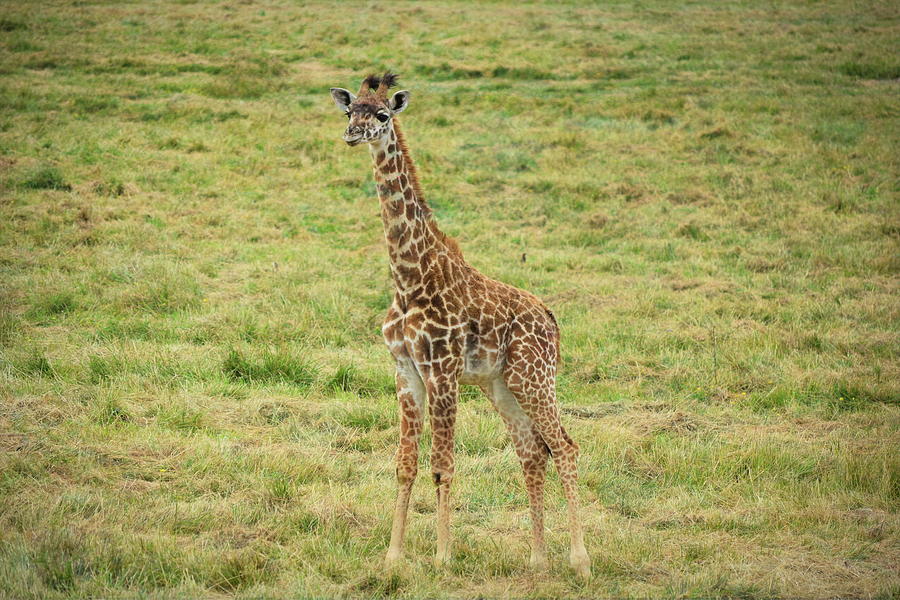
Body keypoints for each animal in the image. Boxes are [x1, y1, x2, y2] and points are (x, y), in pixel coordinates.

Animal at [330, 72, 592, 580]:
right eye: (350, 111)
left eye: (382, 115)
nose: (353, 135)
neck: (409, 278)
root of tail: (553, 321)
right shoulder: (405, 371)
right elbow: (405, 464)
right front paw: (393, 556)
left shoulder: (443, 371)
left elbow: (443, 465)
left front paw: (442, 557)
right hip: (501, 384)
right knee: (533, 453)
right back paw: (537, 560)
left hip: (534, 377)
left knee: (566, 448)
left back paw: (580, 560)